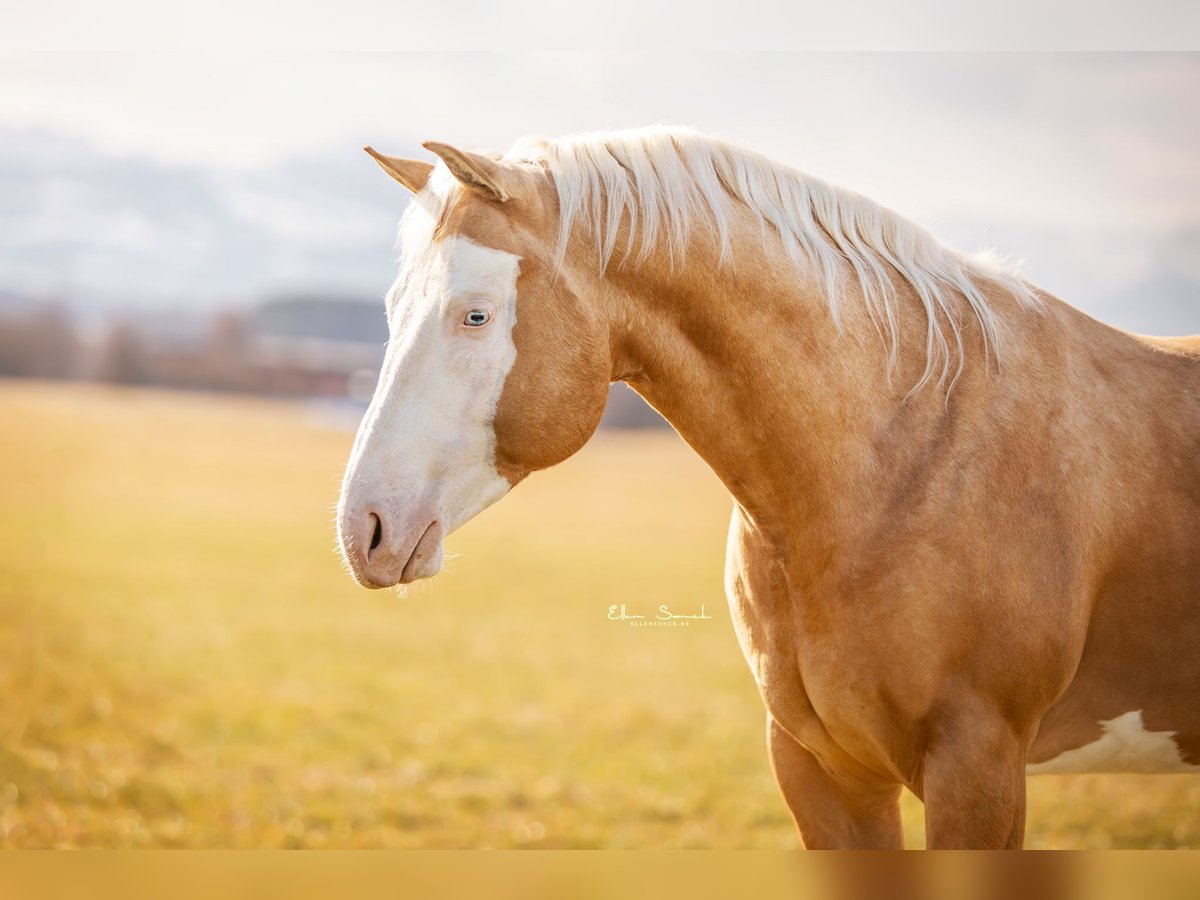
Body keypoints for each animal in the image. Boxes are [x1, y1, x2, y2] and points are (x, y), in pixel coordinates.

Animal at [336, 126, 1200, 849]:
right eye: (392, 309)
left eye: (475, 315)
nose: (363, 530)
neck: (904, 456)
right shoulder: (822, 769)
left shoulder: (977, 769)